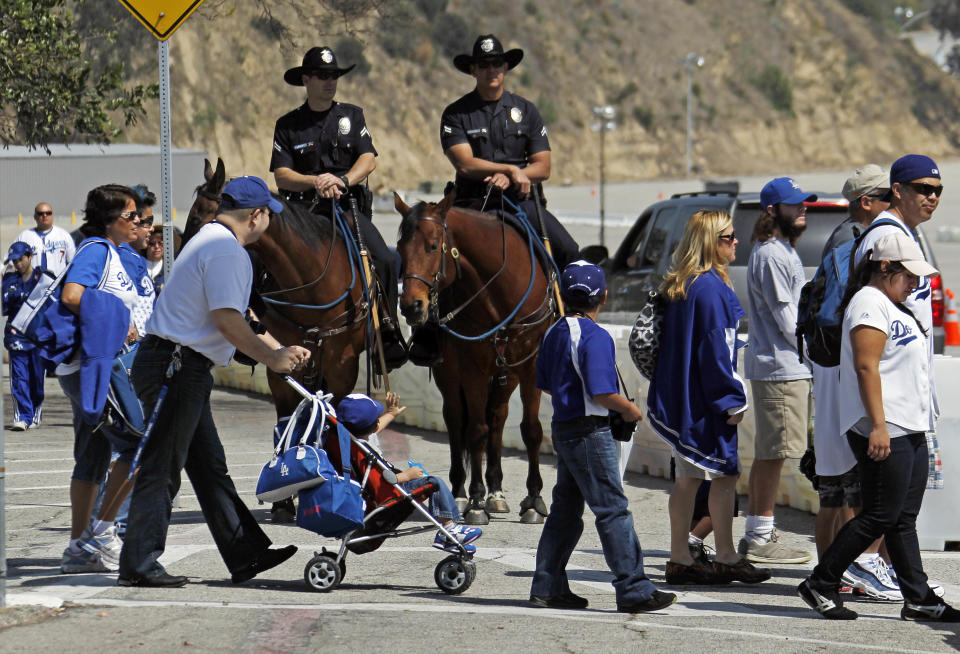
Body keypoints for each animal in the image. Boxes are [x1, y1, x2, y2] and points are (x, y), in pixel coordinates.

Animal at [394, 192, 552, 524]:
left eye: (432, 245)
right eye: (400, 248)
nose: (412, 306)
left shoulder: (531, 365)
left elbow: (531, 430)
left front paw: (533, 499)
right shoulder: (473, 369)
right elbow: (475, 432)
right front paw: (476, 500)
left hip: (507, 374)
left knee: (497, 416)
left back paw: (497, 492)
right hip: (450, 374)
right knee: (456, 420)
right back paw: (459, 492)